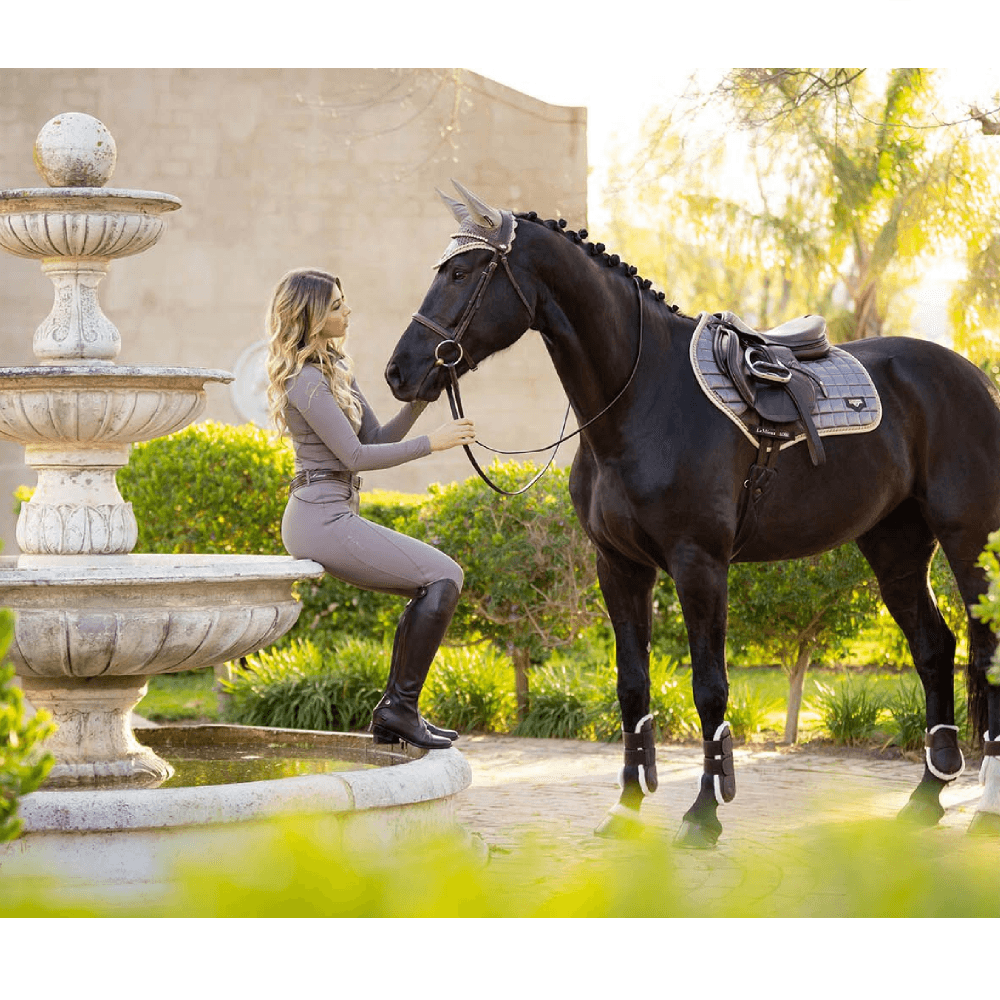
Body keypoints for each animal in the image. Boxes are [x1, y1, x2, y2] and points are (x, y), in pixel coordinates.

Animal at [385, 180, 1000, 847]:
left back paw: (984, 808)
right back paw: (927, 795)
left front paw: (704, 811)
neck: (643, 399)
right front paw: (628, 805)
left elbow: (710, 687)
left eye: (462, 271)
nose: (398, 372)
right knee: (935, 648)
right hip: (895, 547)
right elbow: (632, 685)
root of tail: (973, 375)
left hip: (970, 542)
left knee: (986, 652)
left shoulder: (699, 564)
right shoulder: (619, 567)